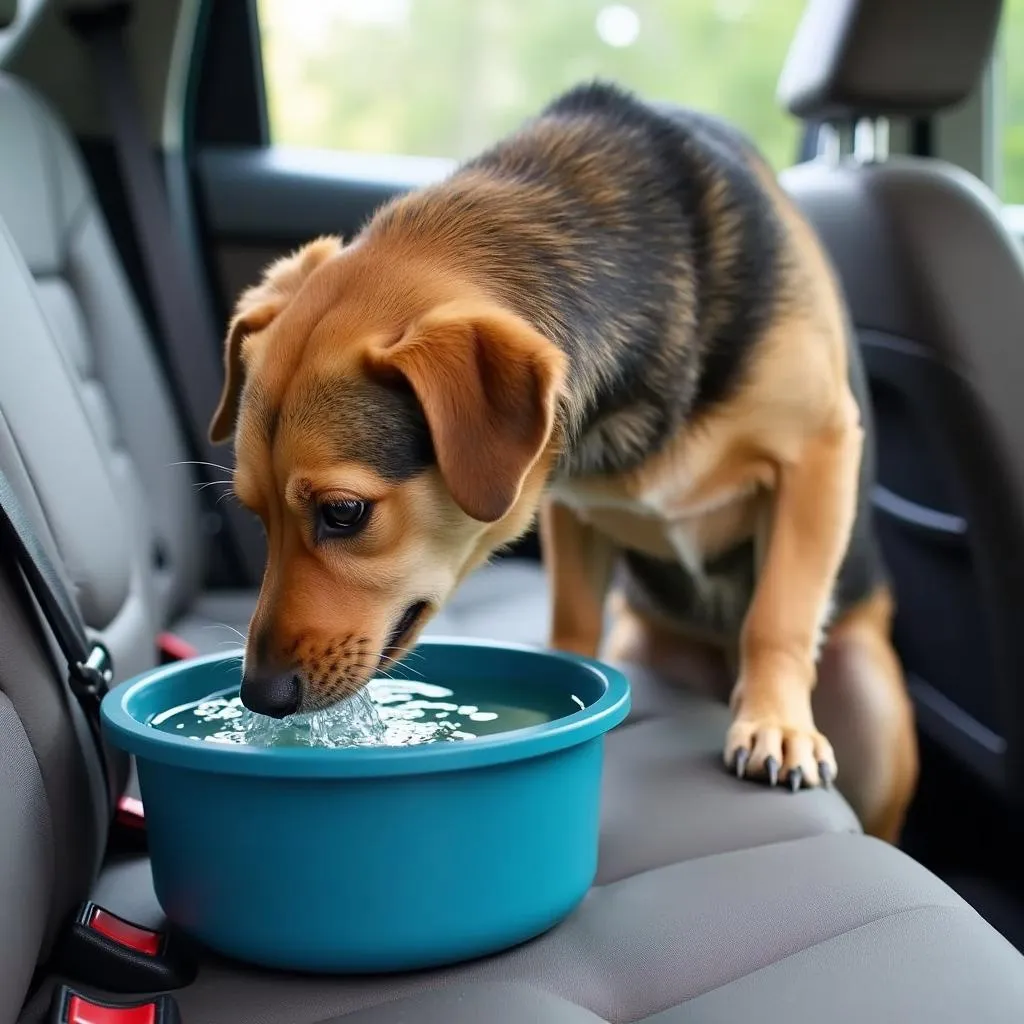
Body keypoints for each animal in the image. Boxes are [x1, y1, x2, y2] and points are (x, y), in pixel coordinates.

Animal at [211, 83, 917, 843]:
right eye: (255, 513)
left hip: (876, 711)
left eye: (344, 512)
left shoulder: (820, 448)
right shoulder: (571, 509)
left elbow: (778, 613)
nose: (259, 694)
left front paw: (775, 724)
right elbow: (574, 622)